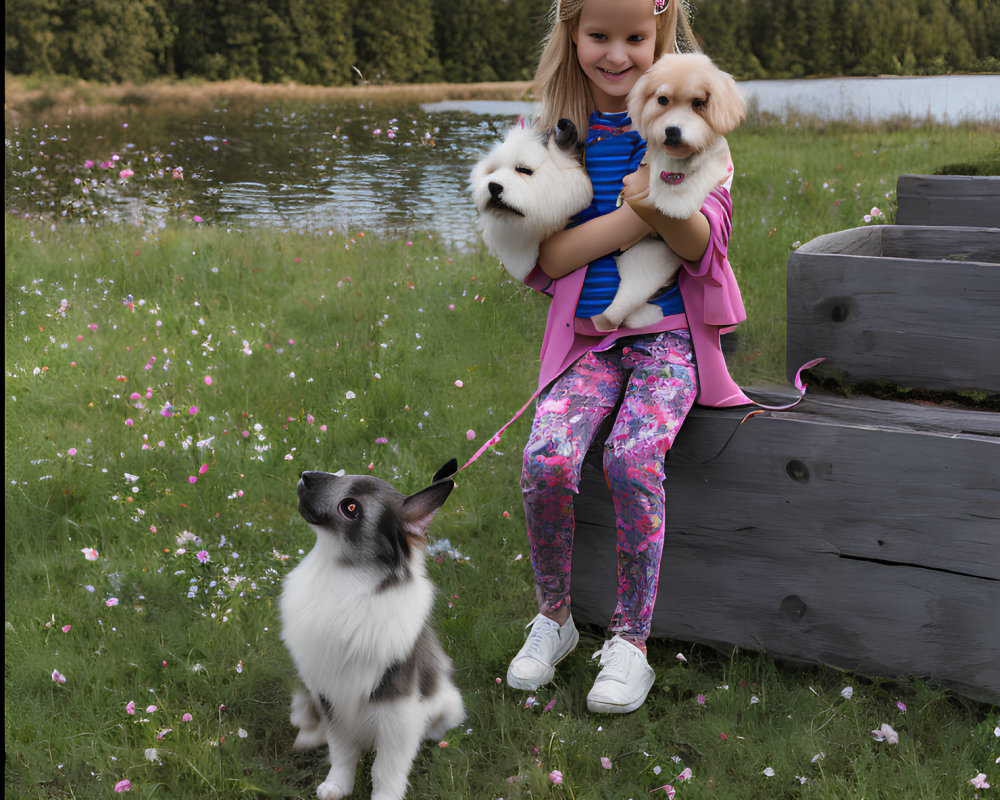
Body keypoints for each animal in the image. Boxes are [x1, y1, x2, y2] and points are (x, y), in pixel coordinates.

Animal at [278, 460, 464, 796]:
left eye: (351, 508)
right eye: (342, 474)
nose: (306, 476)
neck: (342, 576)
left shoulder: (396, 707)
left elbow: (386, 768)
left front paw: (384, 796)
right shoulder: (330, 697)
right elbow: (342, 751)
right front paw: (336, 786)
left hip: (449, 705)